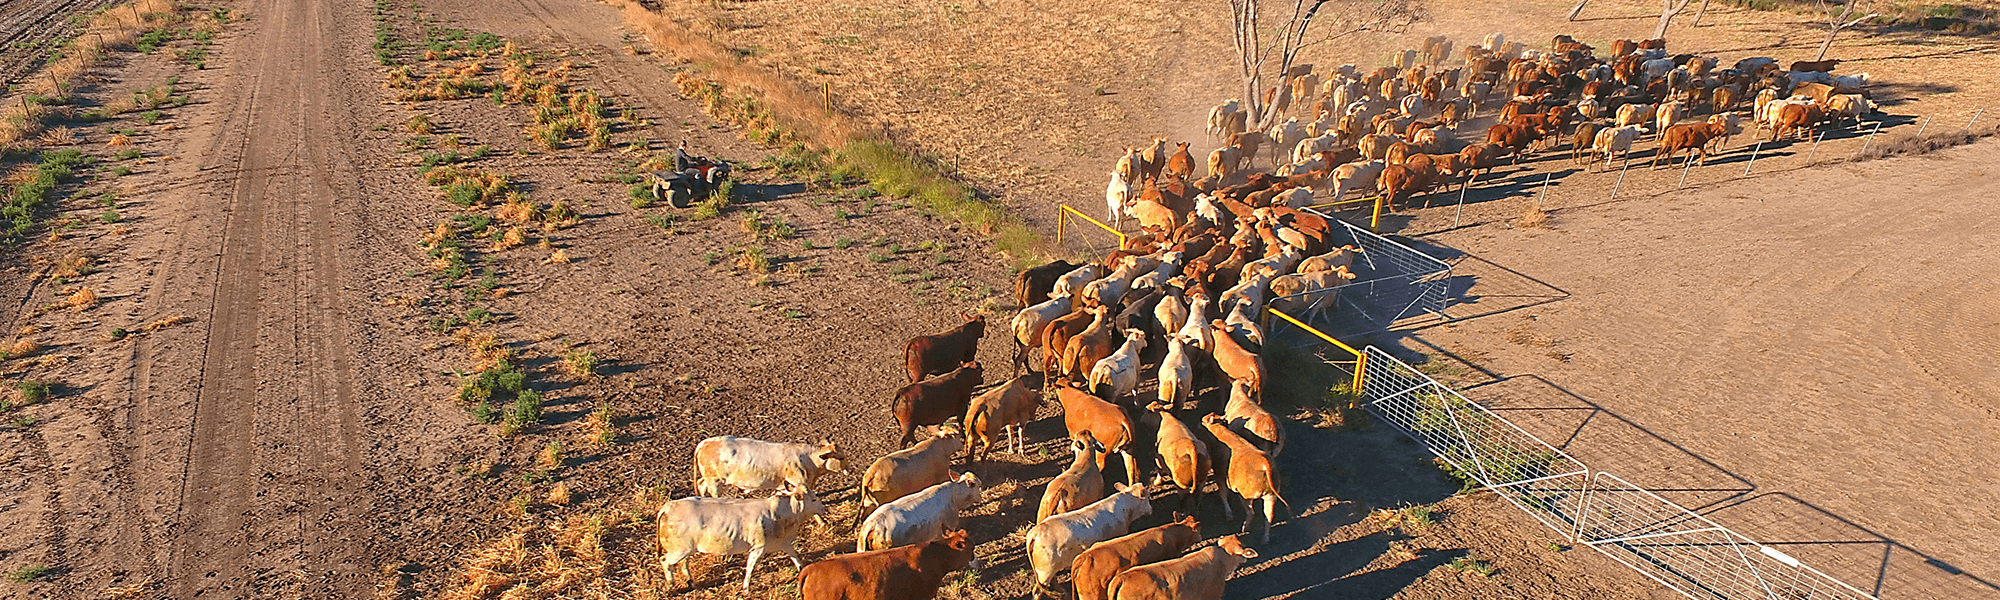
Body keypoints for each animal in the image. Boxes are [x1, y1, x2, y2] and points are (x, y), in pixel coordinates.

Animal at [648, 492, 820, 592]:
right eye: (813, 499)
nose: (823, 507)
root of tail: (669, 506)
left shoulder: (783, 543)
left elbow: (795, 556)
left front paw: (802, 569)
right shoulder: (758, 547)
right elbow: (750, 567)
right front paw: (746, 588)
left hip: (688, 549)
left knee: (684, 564)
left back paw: (691, 582)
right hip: (680, 550)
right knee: (665, 561)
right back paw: (671, 585)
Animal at [696, 436, 844, 496]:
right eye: (842, 458)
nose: (848, 468)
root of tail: (703, 444)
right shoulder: (799, 483)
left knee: (700, 484)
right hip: (715, 481)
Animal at [1032, 482, 1160, 600]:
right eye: (1148, 497)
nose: (1152, 510)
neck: (1127, 508)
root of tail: (1036, 531)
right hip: (1045, 573)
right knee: (1037, 591)